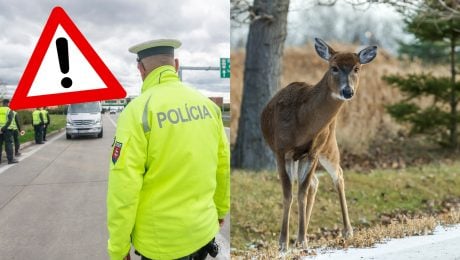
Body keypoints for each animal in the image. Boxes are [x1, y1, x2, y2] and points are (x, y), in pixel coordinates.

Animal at [260, 38, 376, 252]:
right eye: (334, 67)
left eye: (357, 68)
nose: (347, 91)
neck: (302, 122)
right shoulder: (281, 150)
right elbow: (288, 194)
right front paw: (283, 243)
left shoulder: (313, 152)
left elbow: (301, 192)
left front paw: (301, 240)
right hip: (299, 156)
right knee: (314, 182)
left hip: (328, 145)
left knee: (336, 175)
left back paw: (347, 231)